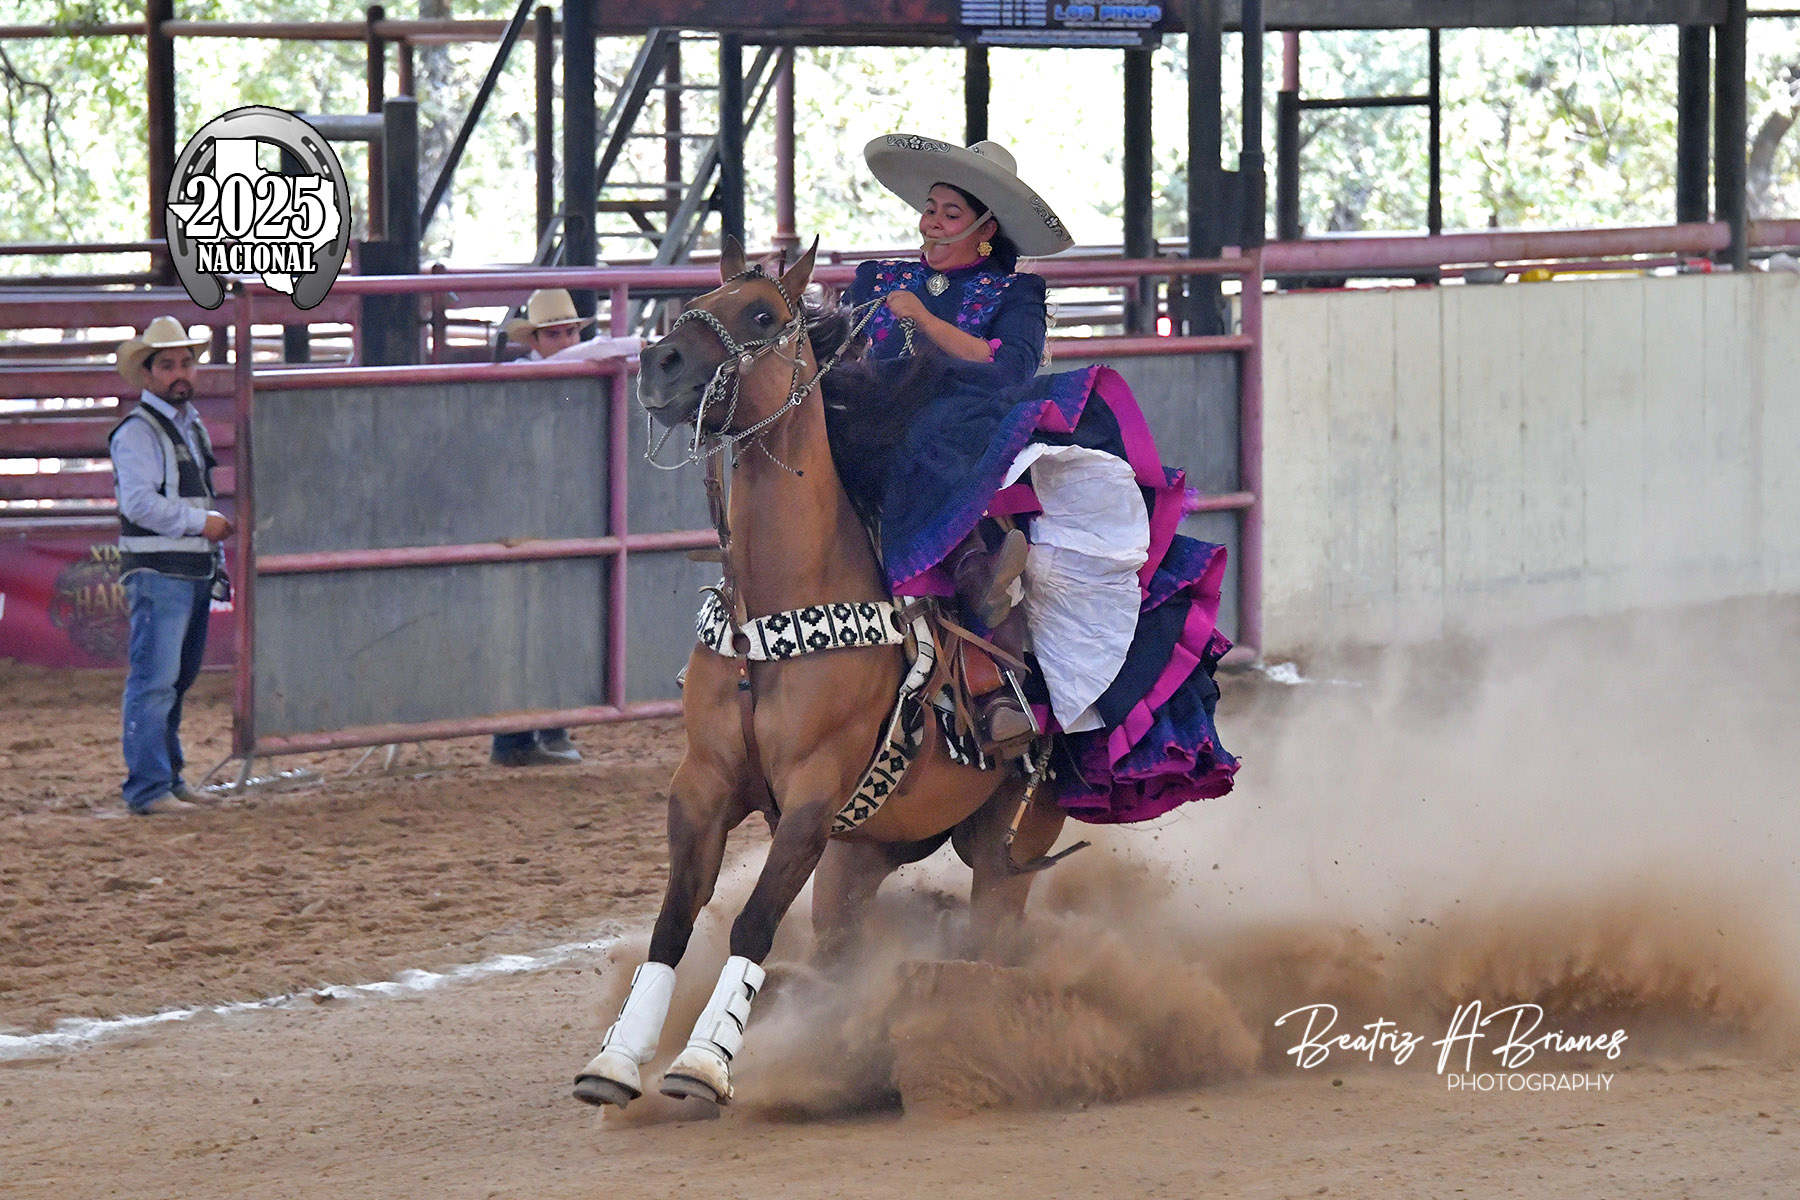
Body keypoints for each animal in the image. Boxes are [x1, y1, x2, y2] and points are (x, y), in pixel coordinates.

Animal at [570, 238, 1069, 1109]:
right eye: (702, 298)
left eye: (762, 314)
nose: (659, 363)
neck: (780, 601)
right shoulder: (703, 785)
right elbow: (674, 920)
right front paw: (618, 1060)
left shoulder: (812, 793)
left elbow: (755, 921)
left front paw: (704, 1064)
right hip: (863, 852)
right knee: (843, 944)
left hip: (1013, 836)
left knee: (990, 936)